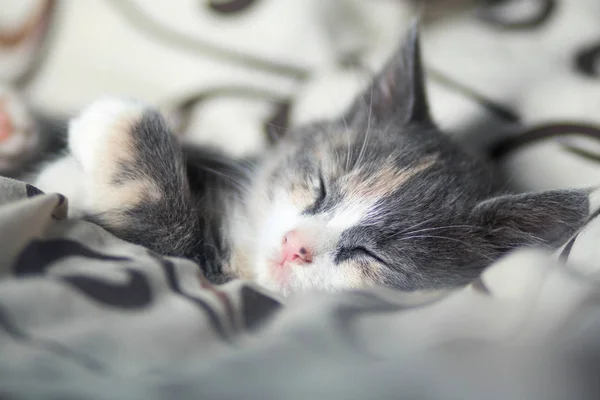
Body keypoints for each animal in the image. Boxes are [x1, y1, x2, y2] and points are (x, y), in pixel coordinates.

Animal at [1, 23, 592, 296]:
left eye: (372, 255)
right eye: (321, 186)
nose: (294, 246)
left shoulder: (207, 270)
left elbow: (164, 235)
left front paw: (112, 122)